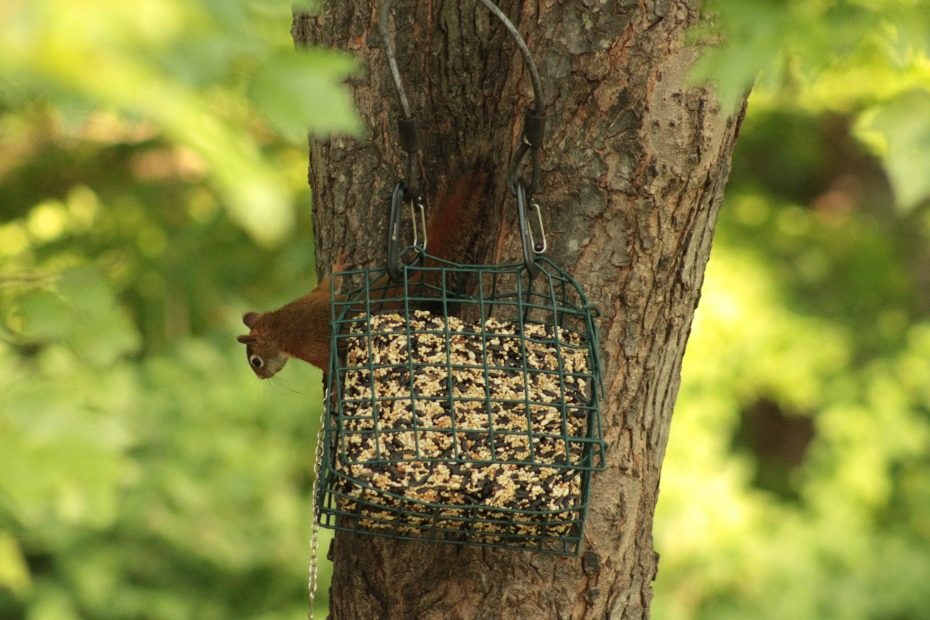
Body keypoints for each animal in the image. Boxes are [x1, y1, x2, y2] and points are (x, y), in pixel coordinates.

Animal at [236, 168, 490, 378]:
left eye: (256, 361)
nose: (262, 377)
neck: (279, 324)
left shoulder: (310, 349)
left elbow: (329, 364)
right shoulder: (317, 294)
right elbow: (329, 284)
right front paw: (338, 264)